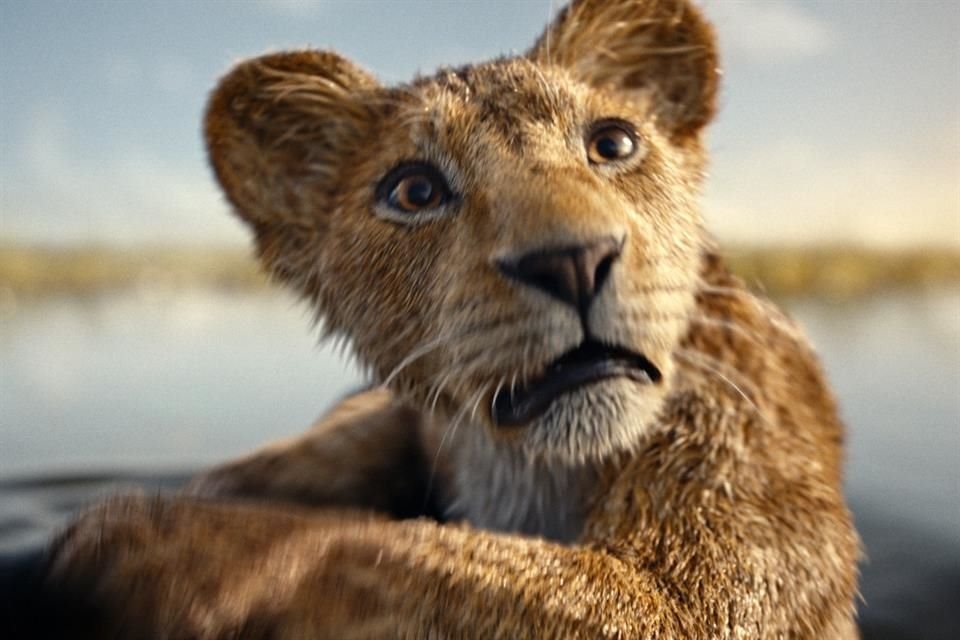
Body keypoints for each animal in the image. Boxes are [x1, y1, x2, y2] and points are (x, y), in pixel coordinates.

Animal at [8, 0, 860, 637]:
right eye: (414, 190)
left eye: (613, 142)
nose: (573, 261)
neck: (528, 470)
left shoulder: (711, 577)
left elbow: (389, 551)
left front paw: (155, 546)